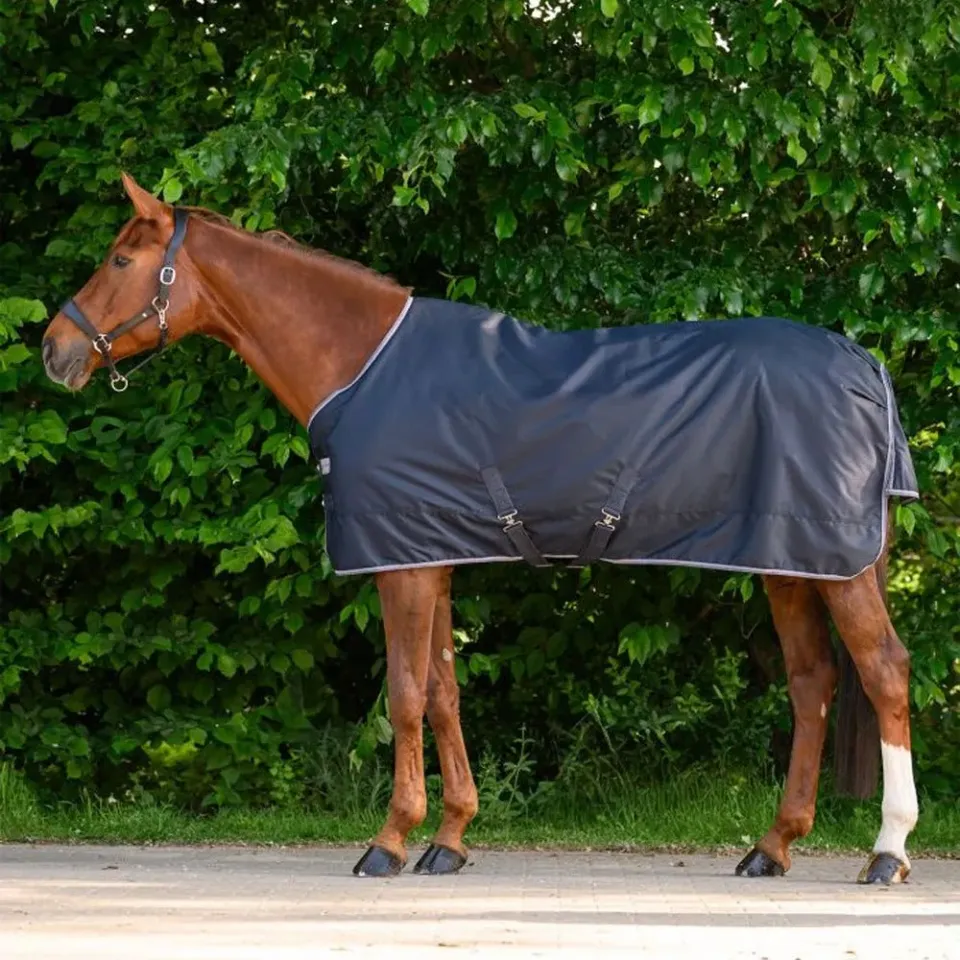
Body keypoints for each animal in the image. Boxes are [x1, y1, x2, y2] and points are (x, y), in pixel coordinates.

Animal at [41, 173, 920, 885]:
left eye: (119, 260)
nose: (54, 350)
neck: (362, 366)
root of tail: (866, 366)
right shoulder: (431, 556)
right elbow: (442, 692)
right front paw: (450, 839)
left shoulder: (400, 566)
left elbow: (403, 696)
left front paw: (389, 841)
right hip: (794, 564)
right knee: (812, 682)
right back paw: (773, 847)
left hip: (834, 566)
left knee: (883, 672)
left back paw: (887, 852)